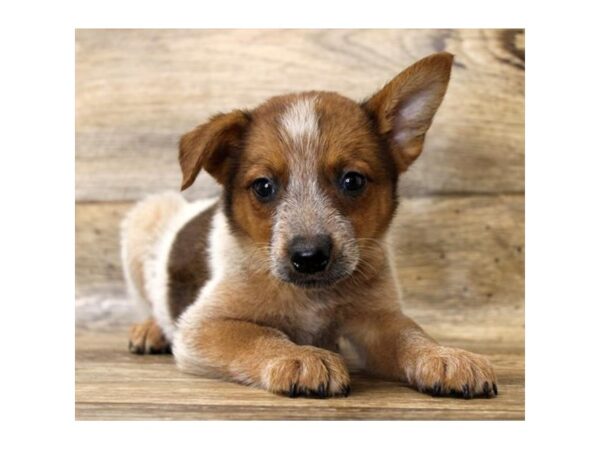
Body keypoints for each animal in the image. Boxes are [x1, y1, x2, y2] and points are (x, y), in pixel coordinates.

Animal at [120, 51, 496, 400]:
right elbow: (259, 334)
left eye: (352, 181)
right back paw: (150, 329)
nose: (309, 256)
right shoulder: (204, 324)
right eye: (263, 186)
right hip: (144, 219)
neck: (311, 297)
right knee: (149, 302)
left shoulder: (378, 317)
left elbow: (411, 334)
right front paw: (300, 357)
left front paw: (445, 356)